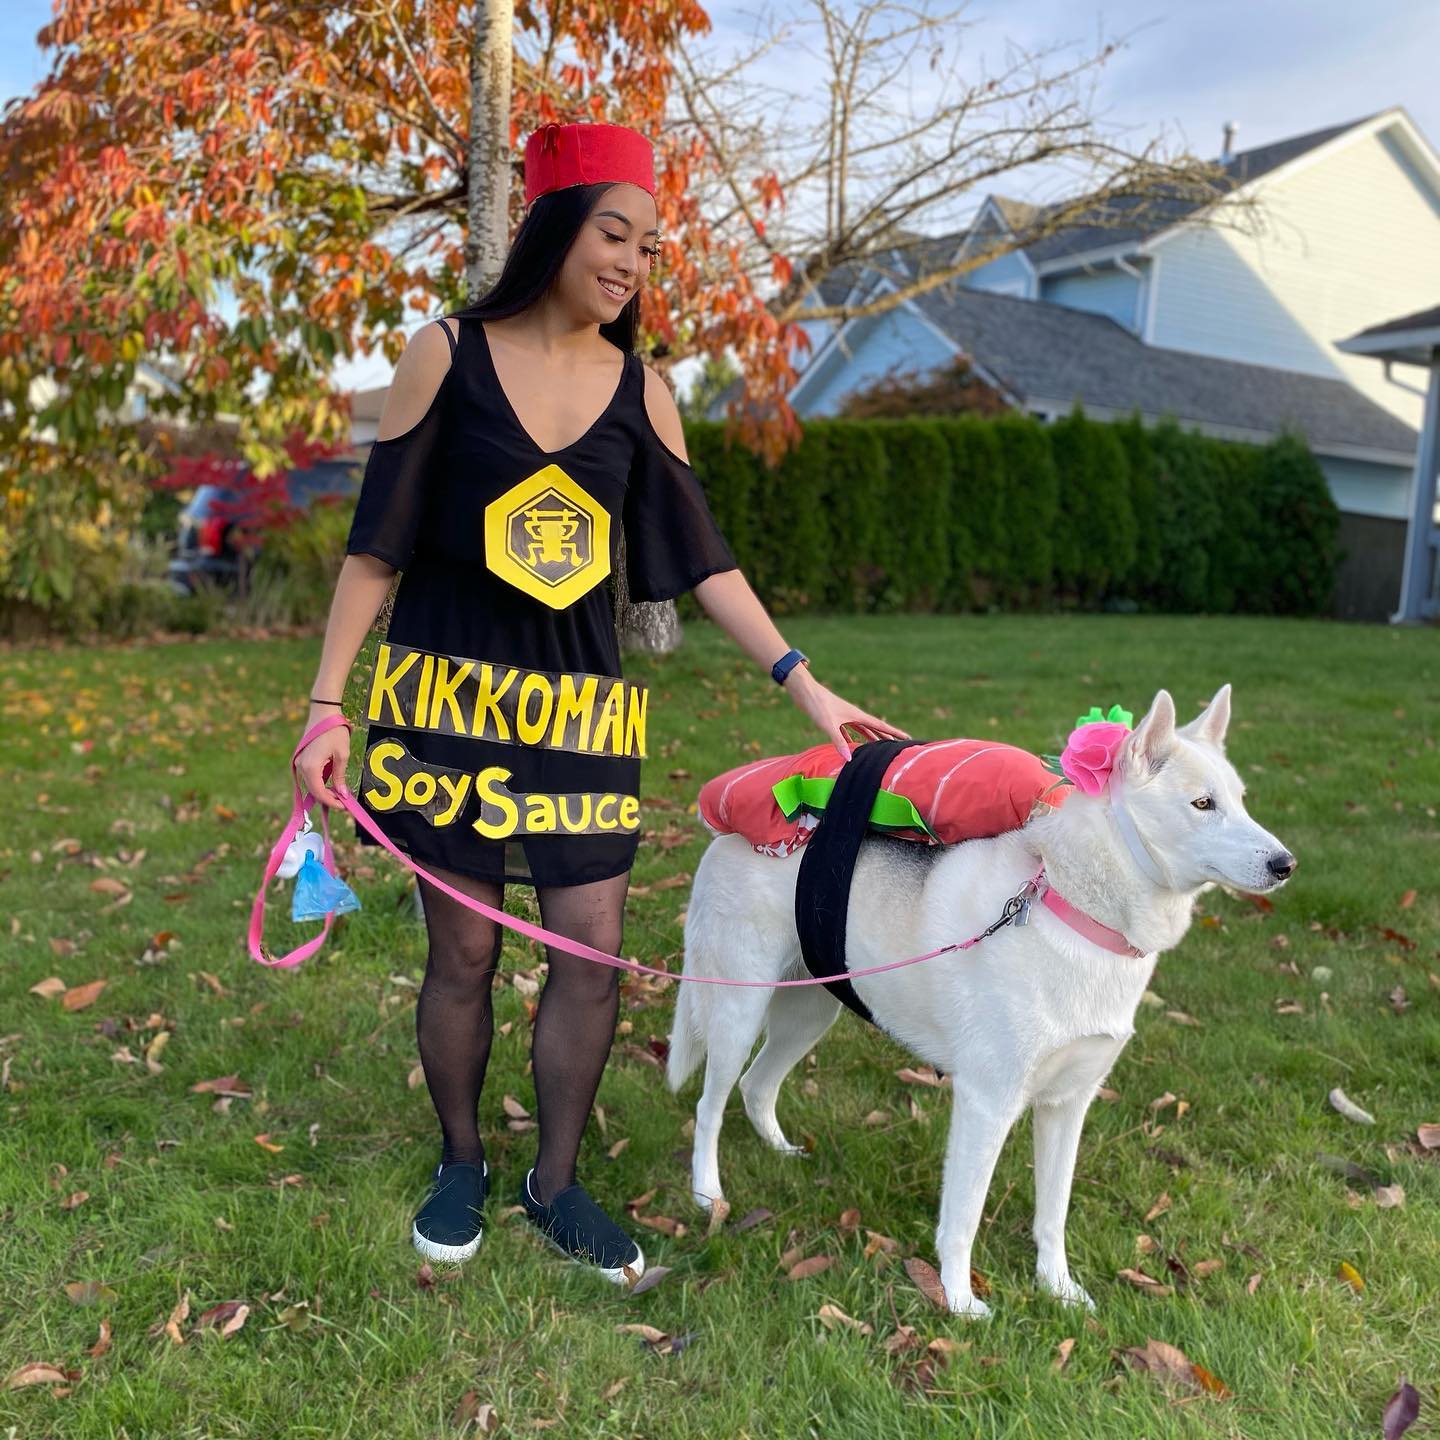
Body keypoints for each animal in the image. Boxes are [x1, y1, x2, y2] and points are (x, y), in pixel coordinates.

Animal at [668, 685, 1301, 1319]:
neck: (1075, 910)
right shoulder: (987, 1103)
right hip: (738, 1015)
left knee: (758, 1086)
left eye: (1242, 802)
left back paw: (780, 1153)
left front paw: (1057, 1288)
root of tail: (725, 838)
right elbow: (963, 1219)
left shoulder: (1067, 1105)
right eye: (1202, 804)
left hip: (811, 1010)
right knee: (709, 1105)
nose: (1286, 865)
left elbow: (1053, 1215)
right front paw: (957, 1300)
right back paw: (707, 1195)